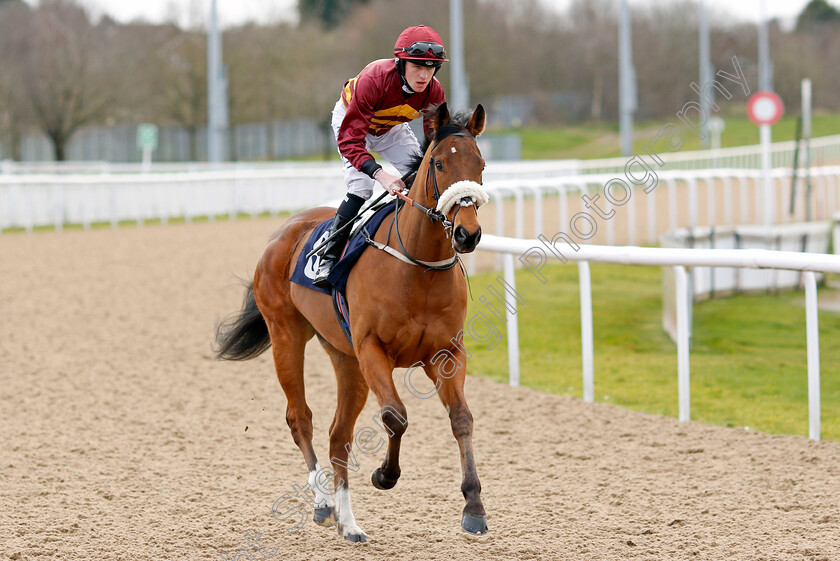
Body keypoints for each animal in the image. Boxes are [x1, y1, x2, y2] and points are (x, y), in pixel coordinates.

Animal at [215, 103, 492, 540]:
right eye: (440, 163)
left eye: (480, 164)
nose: (468, 234)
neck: (418, 266)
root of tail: (282, 232)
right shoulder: (372, 349)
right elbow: (396, 415)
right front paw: (385, 475)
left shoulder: (446, 353)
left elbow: (461, 419)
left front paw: (474, 506)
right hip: (287, 336)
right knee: (301, 419)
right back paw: (323, 502)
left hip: (344, 358)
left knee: (338, 435)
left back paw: (349, 523)